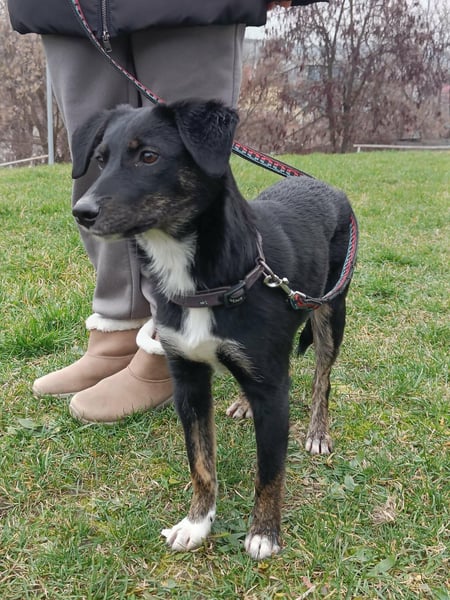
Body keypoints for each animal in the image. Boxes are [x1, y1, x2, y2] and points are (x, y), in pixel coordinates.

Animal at [71, 99, 357, 560]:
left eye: (148, 156)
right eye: (100, 159)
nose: (83, 212)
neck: (201, 279)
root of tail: (324, 185)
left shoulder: (273, 390)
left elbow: (269, 470)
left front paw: (264, 533)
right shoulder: (188, 381)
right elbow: (201, 463)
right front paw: (196, 524)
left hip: (330, 310)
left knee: (321, 378)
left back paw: (317, 432)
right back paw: (242, 403)